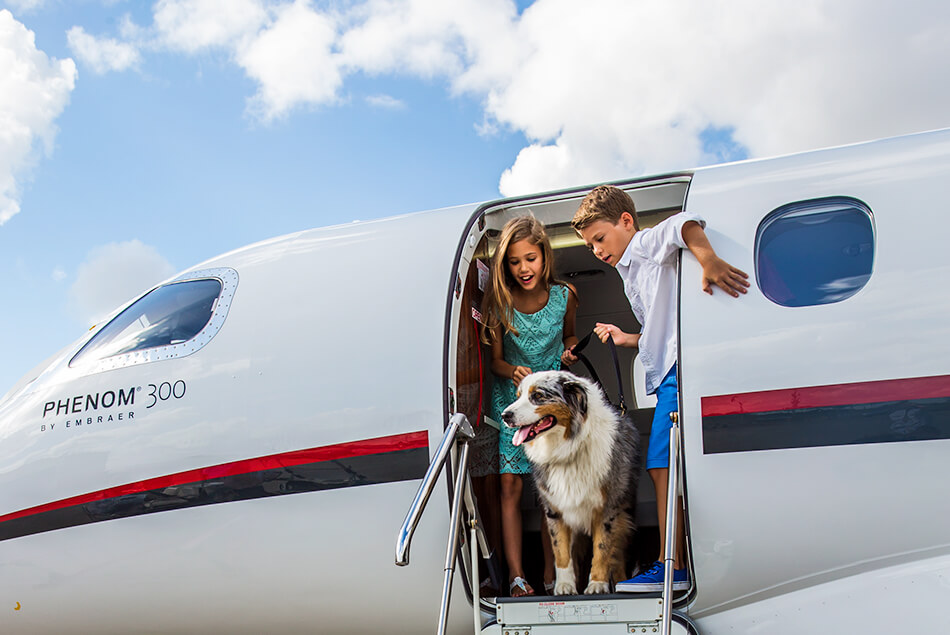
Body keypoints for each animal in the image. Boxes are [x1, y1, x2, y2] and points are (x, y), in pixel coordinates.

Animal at [502, 370, 644, 600]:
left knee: (618, 555)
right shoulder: (555, 510)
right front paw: (564, 586)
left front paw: (597, 585)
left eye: (538, 396)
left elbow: (602, 549)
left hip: (624, 518)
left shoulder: (607, 509)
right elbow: (560, 551)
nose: (505, 415)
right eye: (518, 395)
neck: (567, 449)